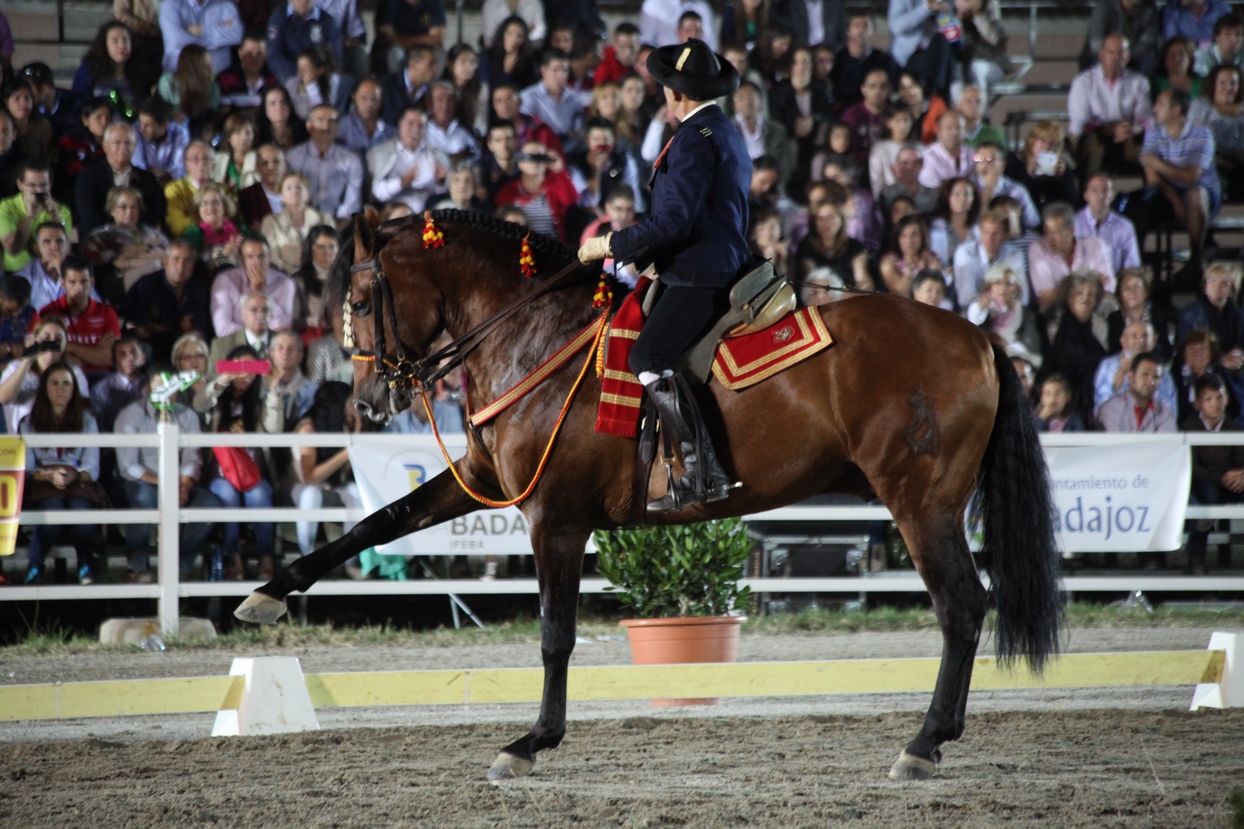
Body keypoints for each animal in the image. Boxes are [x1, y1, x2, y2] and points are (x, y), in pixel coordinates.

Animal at [235, 210, 1059, 776]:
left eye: (360, 297)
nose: (367, 400)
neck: (535, 336)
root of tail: (978, 336)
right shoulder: (483, 481)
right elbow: (377, 521)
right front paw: (266, 594)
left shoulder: (554, 518)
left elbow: (555, 635)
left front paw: (532, 742)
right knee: (964, 608)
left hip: (921, 504)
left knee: (961, 607)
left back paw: (924, 741)